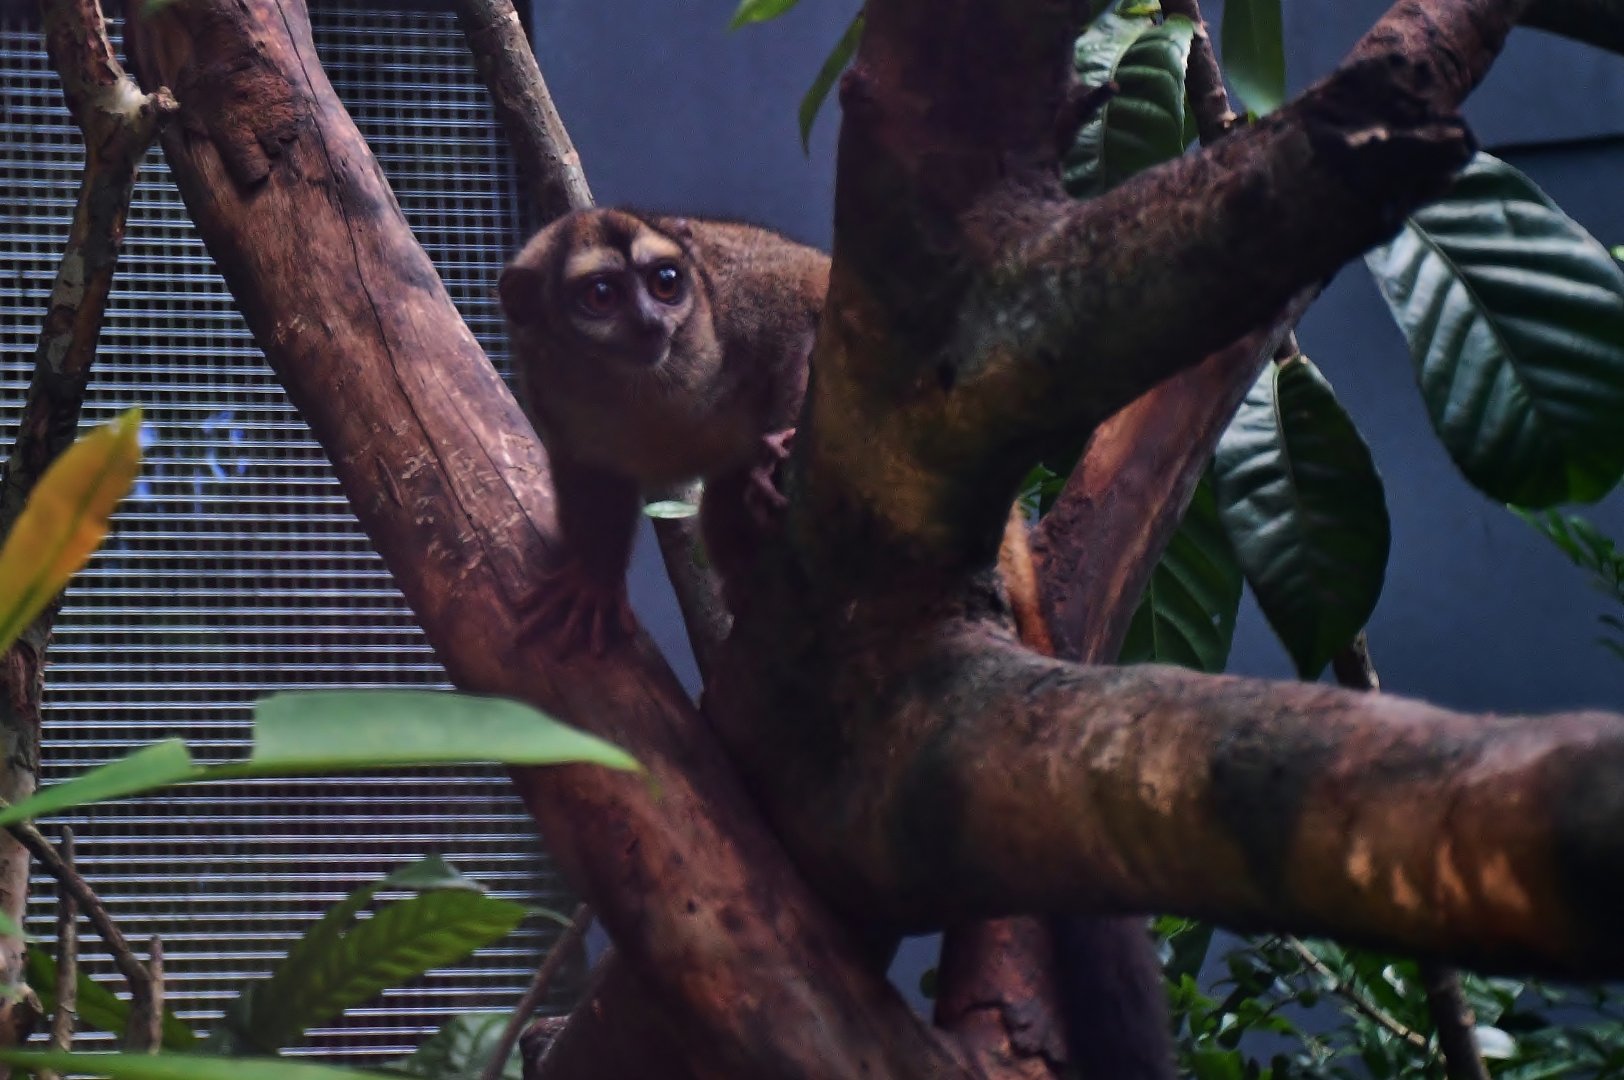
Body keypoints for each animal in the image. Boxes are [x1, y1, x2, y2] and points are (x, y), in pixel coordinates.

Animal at [498, 208, 829, 654]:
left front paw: (777, 454)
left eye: (666, 282)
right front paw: (594, 581)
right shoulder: (546, 391)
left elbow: (806, 322)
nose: (650, 322)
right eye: (601, 295)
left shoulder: (746, 297)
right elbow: (593, 474)